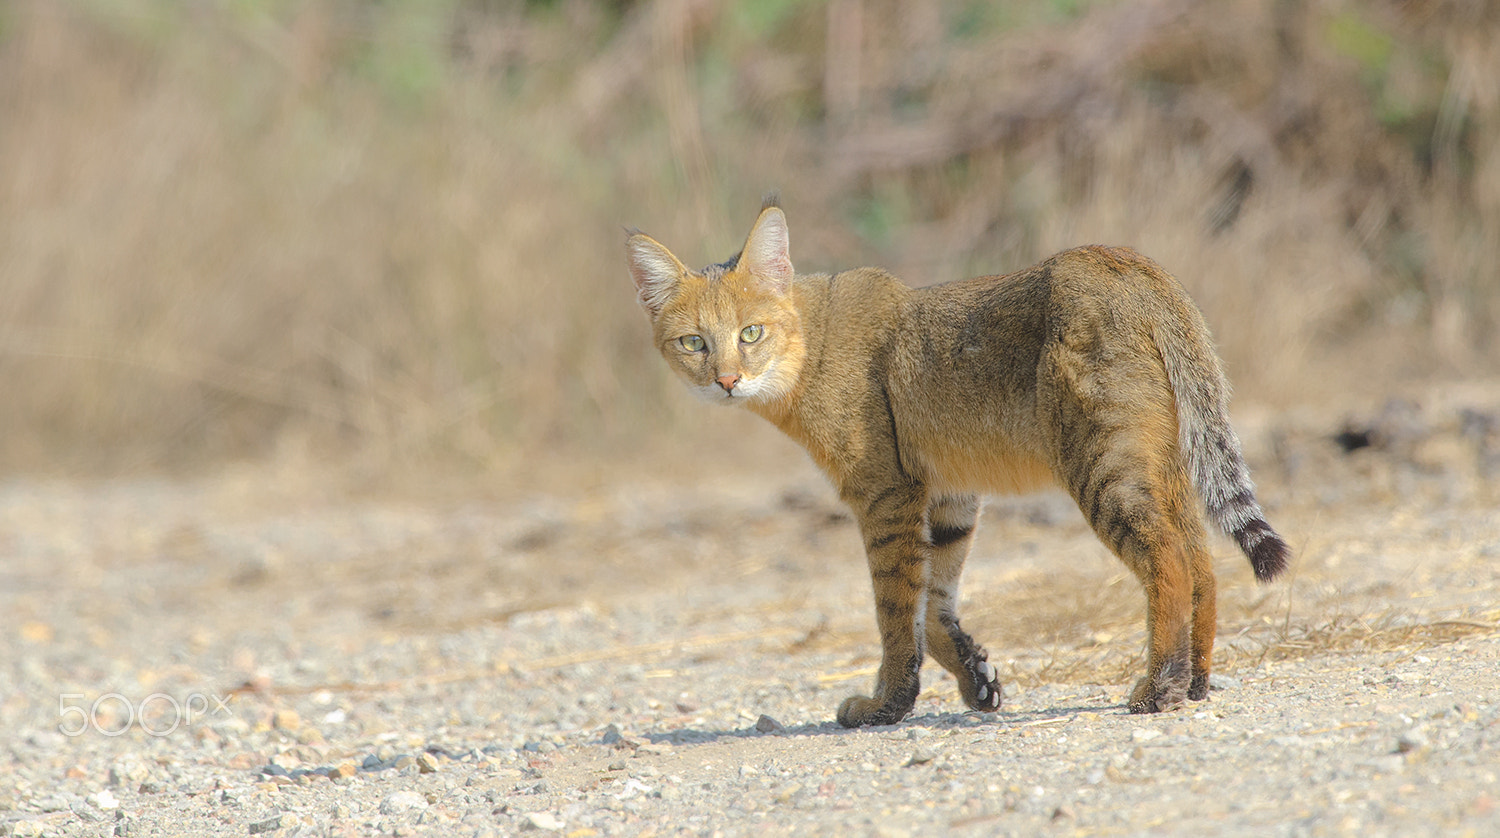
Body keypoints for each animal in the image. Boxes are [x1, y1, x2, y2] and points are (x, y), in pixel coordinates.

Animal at [621, 196, 1290, 728]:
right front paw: (974, 676)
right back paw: (1195, 681)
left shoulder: (885, 495)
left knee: (1169, 559)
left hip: (1104, 466)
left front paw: (885, 704)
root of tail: (1124, 260)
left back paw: (1161, 685)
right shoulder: (947, 493)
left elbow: (895, 609)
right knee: (1202, 563)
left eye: (751, 333)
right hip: (1165, 466)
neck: (809, 346)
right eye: (693, 343)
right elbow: (934, 603)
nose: (727, 380)